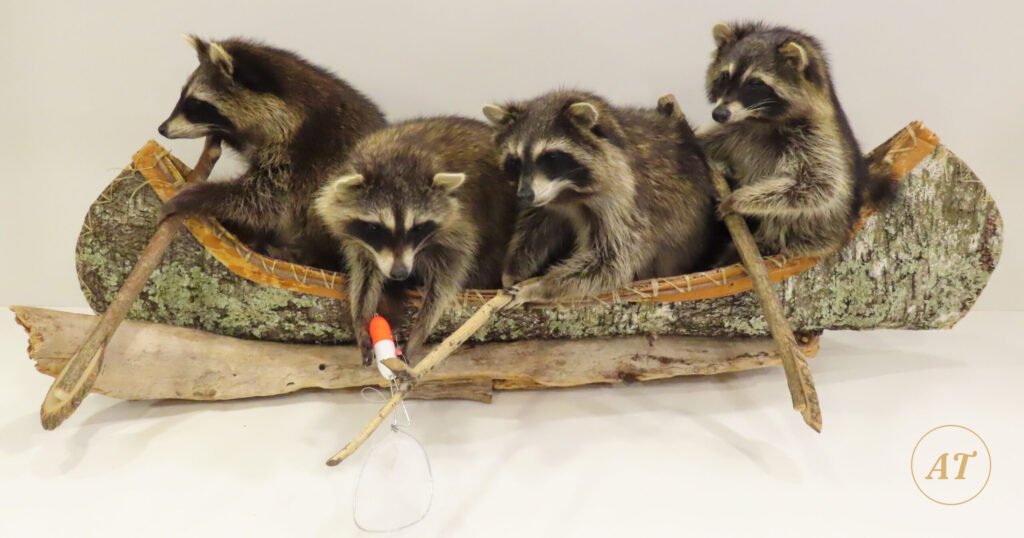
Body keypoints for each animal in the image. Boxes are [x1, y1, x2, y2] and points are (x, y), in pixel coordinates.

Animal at [158, 35, 386, 269]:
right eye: (183, 96)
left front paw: (201, 195)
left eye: (195, 103)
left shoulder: (304, 154)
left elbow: (264, 199)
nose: (162, 129)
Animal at [314, 117, 516, 363]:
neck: (397, 156)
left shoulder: (460, 223)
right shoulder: (362, 242)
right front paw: (361, 318)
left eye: (418, 228)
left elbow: (448, 274)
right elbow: (365, 274)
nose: (400, 273)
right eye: (374, 227)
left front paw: (422, 325)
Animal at [483, 89, 717, 304]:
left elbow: (612, 261)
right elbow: (535, 227)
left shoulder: (627, 197)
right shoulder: (546, 198)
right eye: (515, 161)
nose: (524, 195)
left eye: (551, 157)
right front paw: (514, 269)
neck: (568, 192)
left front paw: (538, 288)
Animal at [698, 22, 893, 258]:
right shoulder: (736, 128)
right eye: (724, 76)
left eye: (755, 83)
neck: (761, 119)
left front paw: (739, 199)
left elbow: (818, 186)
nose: (719, 114)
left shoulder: (819, 137)